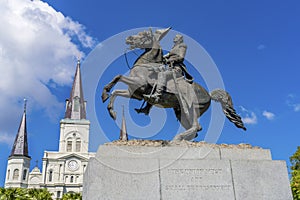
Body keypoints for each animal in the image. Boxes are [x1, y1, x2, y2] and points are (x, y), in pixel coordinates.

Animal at [102, 27, 245, 141]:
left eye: (144, 35)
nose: (128, 38)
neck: (146, 64)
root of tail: (209, 94)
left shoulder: (139, 84)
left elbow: (118, 77)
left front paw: (105, 94)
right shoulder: (134, 93)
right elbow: (115, 91)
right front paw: (111, 110)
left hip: (192, 109)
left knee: (196, 127)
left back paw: (177, 138)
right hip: (181, 112)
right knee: (195, 130)